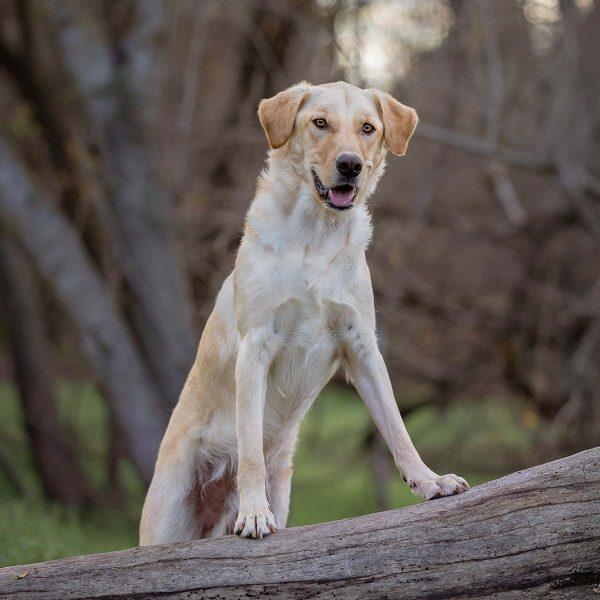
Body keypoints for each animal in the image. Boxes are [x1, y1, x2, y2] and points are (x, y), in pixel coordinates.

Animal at [139, 79, 468, 544]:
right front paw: (254, 512)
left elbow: (396, 426)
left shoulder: (362, 346)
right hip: (167, 518)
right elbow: (250, 447)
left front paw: (428, 480)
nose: (350, 165)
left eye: (367, 128)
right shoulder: (255, 347)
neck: (316, 235)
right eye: (320, 123)